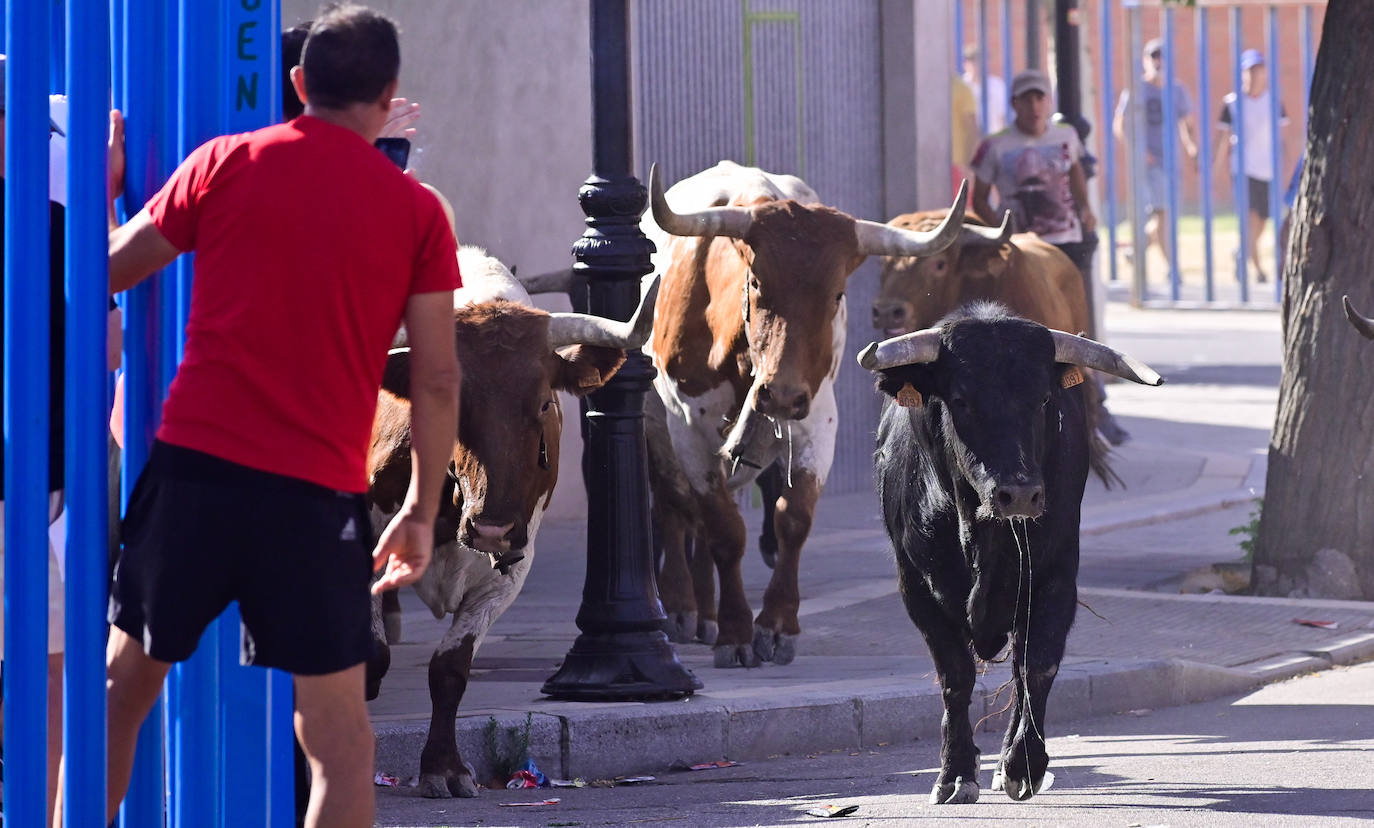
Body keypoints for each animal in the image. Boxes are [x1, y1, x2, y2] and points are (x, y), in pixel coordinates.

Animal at [862, 304, 1165, 801]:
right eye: (961, 399)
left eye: (1043, 400)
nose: (1019, 494)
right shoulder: (916, 588)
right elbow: (956, 676)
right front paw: (955, 774)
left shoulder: (1056, 577)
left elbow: (1036, 667)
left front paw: (1022, 766)